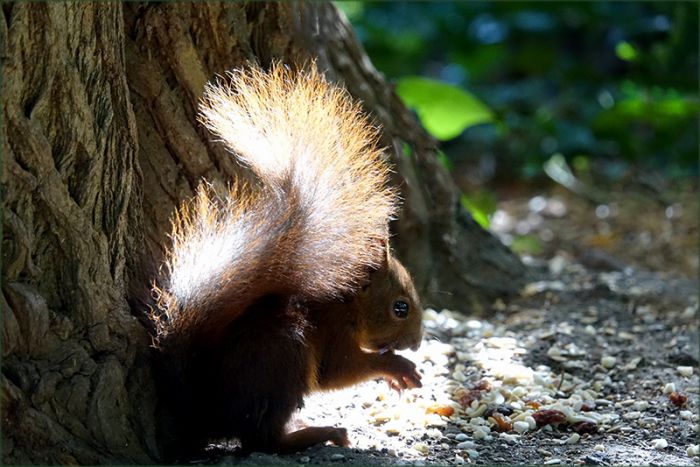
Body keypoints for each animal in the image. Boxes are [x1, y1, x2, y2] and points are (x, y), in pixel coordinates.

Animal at [147, 63, 423, 459]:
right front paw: (398, 367)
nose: (417, 342)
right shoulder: (333, 333)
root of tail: (201, 414)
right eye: (400, 308)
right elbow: (338, 371)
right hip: (283, 358)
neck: (347, 305)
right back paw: (317, 433)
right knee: (262, 441)